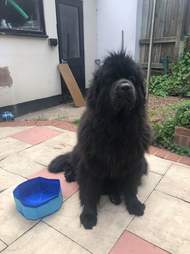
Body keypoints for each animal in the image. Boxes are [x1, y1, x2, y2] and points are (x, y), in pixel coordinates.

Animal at [48, 51, 151, 230]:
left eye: (132, 78)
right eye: (111, 79)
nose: (125, 87)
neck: (117, 126)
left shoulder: (134, 161)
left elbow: (131, 187)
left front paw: (134, 205)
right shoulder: (91, 163)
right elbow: (89, 191)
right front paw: (88, 215)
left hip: (144, 164)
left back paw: (115, 195)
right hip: (79, 152)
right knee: (71, 164)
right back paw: (70, 175)